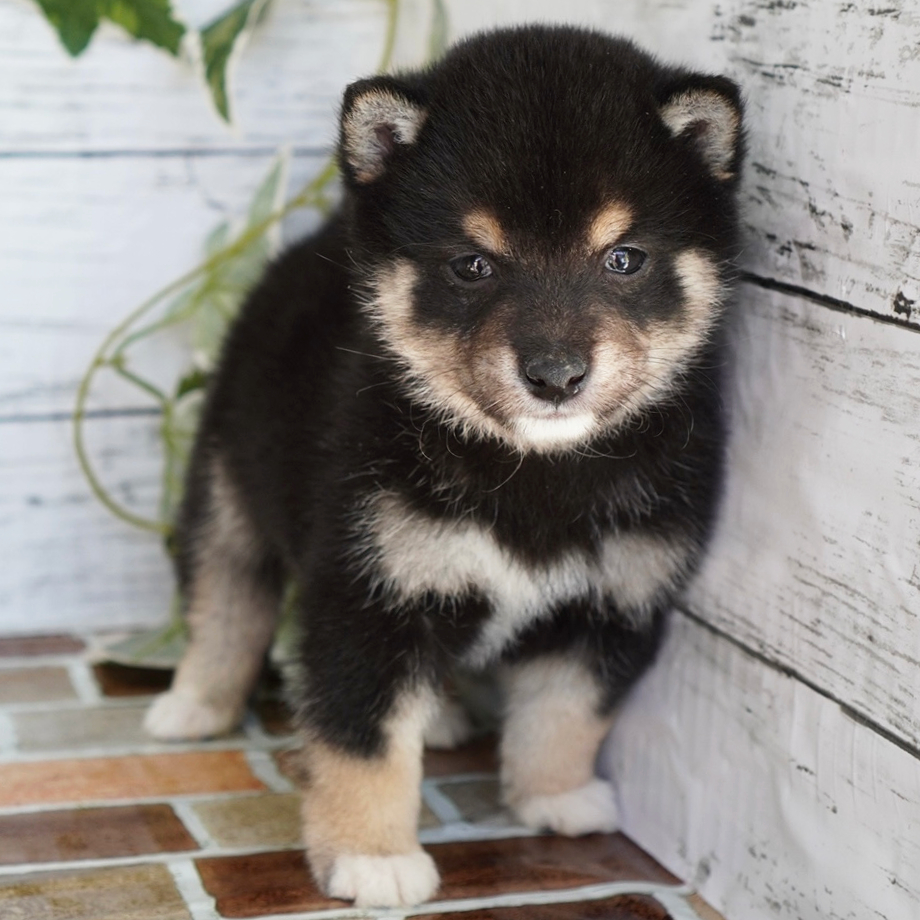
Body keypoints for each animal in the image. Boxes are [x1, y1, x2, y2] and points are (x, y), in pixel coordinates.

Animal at [147, 25, 744, 908]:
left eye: (625, 258)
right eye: (472, 264)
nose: (556, 375)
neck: (533, 473)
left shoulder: (612, 602)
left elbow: (567, 715)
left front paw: (554, 796)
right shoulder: (367, 593)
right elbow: (365, 743)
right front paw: (372, 856)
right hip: (228, 483)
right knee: (225, 600)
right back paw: (192, 704)